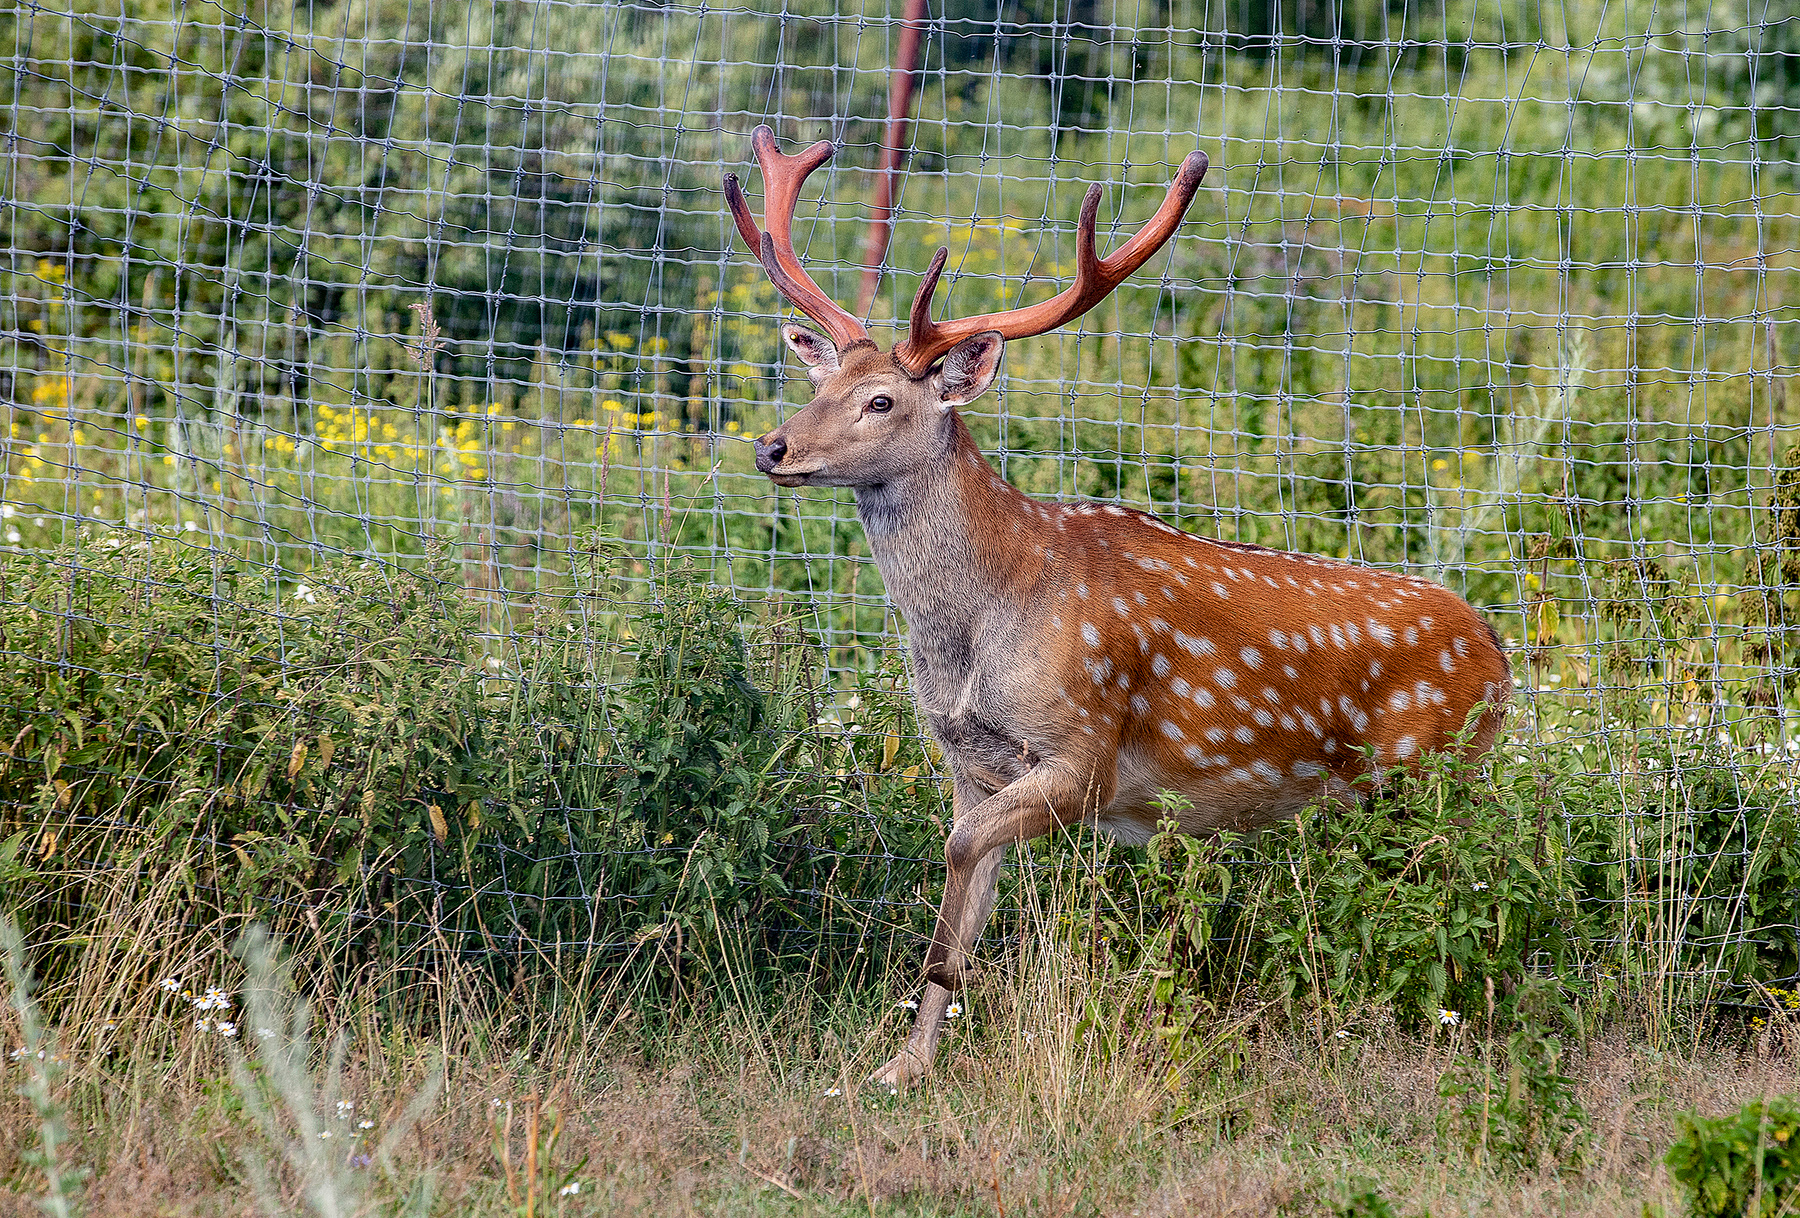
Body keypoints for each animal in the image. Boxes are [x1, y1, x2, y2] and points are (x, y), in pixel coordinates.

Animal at [724, 126, 1512, 1090]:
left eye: (882, 400)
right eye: (819, 385)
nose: (773, 447)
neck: (977, 631)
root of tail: (1501, 658)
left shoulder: (1086, 755)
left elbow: (960, 853)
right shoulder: (968, 764)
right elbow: (958, 910)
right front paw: (898, 1070)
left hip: (1428, 773)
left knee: (1466, 886)